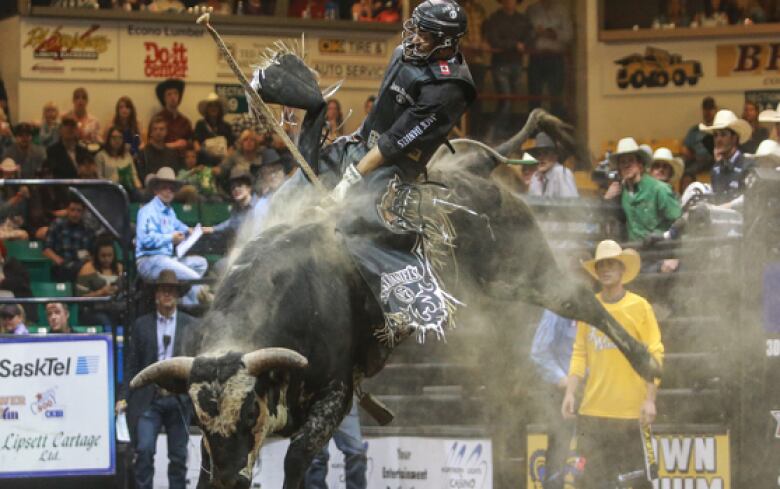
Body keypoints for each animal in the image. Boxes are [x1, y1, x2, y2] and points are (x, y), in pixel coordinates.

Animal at [128, 15, 660, 488]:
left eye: (248, 414)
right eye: (202, 420)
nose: (230, 479)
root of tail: (477, 170)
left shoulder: (336, 393)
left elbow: (298, 459)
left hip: (522, 266)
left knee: (580, 300)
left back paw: (647, 363)